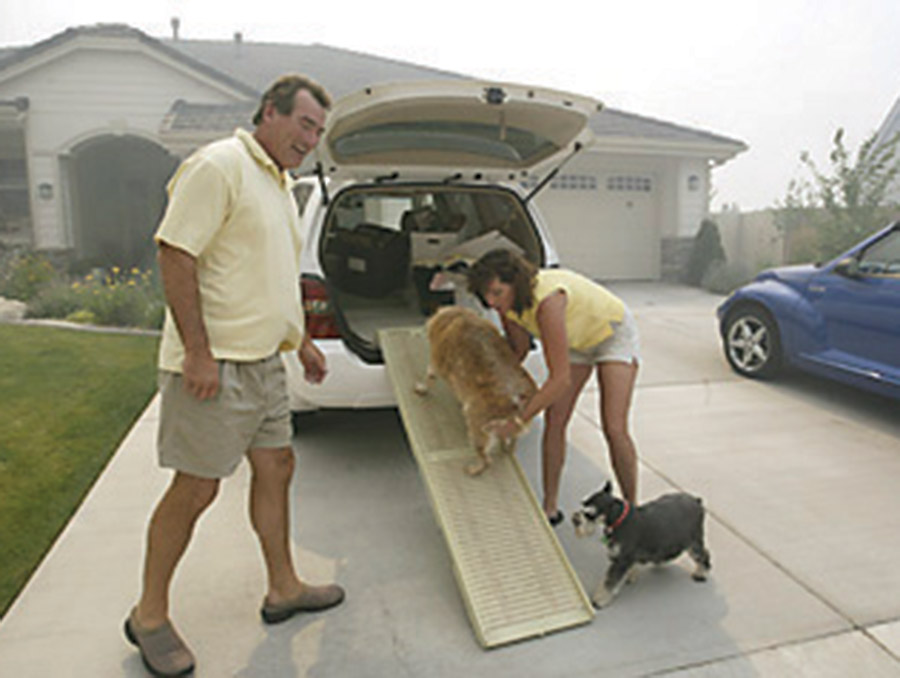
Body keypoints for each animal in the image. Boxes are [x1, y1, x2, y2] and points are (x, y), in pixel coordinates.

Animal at [414, 306, 536, 476]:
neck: (456, 317)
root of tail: (517, 399)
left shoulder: (435, 362)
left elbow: (429, 377)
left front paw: (422, 388)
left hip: (476, 424)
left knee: (487, 459)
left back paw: (474, 469)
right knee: (512, 440)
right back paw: (507, 447)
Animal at [576, 480, 712, 608]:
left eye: (589, 515)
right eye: (583, 503)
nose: (575, 520)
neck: (618, 519)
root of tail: (697, 501)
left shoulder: (621, 560)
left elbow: (609, 582)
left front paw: (599, 600)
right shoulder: (626, 557)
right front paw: (630, 575)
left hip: (694, 542)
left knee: (703, 555)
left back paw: (701, 573)